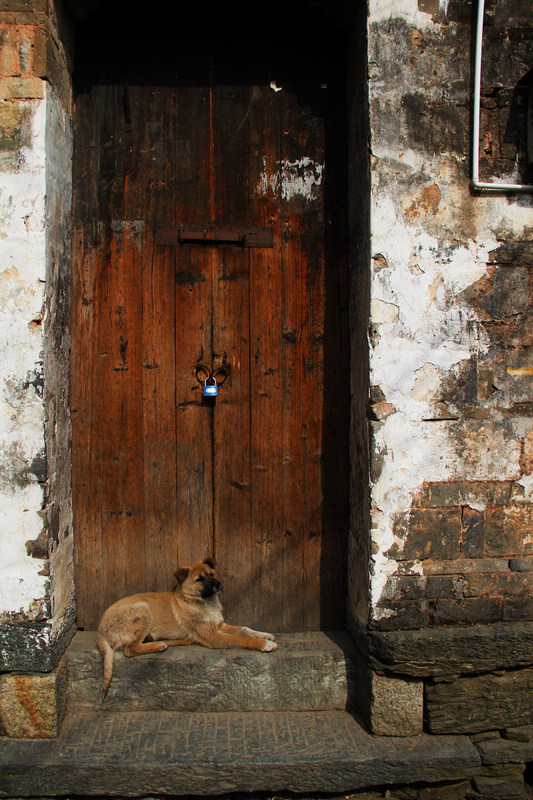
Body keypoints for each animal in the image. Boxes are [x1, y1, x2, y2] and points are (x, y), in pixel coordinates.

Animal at [96, 560, 278, 696]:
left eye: (212, 574)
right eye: (199, 579)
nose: (219, 585)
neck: (203, 602)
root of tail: (101, 631)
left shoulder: (220, 626)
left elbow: (245, 629)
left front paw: (264, 635)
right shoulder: (213, 636)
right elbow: (243, 638)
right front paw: (265, 645)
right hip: (143, 610)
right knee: (129, 649)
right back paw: (159, 645)